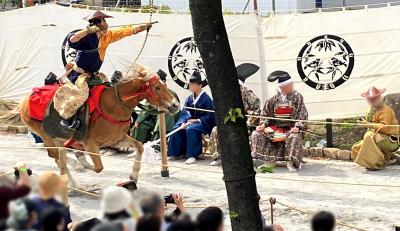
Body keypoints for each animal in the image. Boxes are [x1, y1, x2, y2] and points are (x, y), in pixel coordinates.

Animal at [19, 64, 180, 190]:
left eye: (164, 85)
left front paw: (133, 176)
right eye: (157, 87)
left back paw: (74, 179)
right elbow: (98, 168)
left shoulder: (116, 139)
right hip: (45, 135)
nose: (175, 105)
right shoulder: (91, 143)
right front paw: (82, 165)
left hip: (57, 137)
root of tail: (25, 100)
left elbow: (139, 146)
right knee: (56, 155)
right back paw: (75, 168)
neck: (114, 105)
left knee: (60, 154)